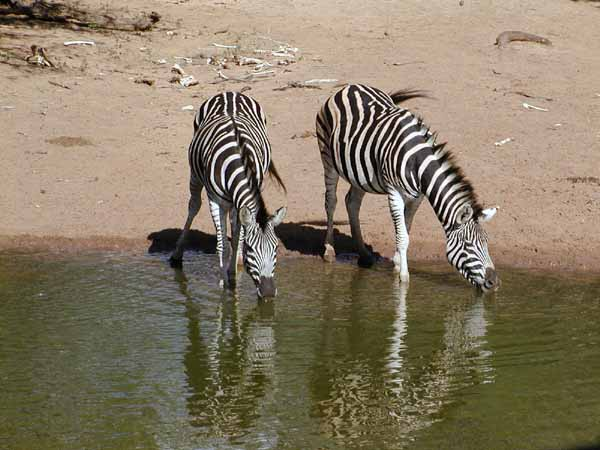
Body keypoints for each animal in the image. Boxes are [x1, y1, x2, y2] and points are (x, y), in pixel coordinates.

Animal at [170, 90, 288, 298]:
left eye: (275, 248)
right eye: (251, 249)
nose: (267, 293)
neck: (239, 160)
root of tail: (231, 92)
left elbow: (237, 236)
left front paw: (233, 274)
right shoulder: (215, 200)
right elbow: (223, 245)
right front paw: (223, 283)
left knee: (234, 224)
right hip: (195, 174)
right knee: (194, 206)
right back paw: (178, 252)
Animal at [316, 84, 500, 292]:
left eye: (487, 242)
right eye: (468, 245)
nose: (494, 282)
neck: (418, 162)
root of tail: (350, 86)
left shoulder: (417, 197)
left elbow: (406, 230)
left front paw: (397, 263)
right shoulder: (394, 192)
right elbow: (403, 236)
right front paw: (403, 278)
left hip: (359, 173)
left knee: (352, 202)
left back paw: (363, 253)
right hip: (327, 157)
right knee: (331, 201)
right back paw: (329, 250)